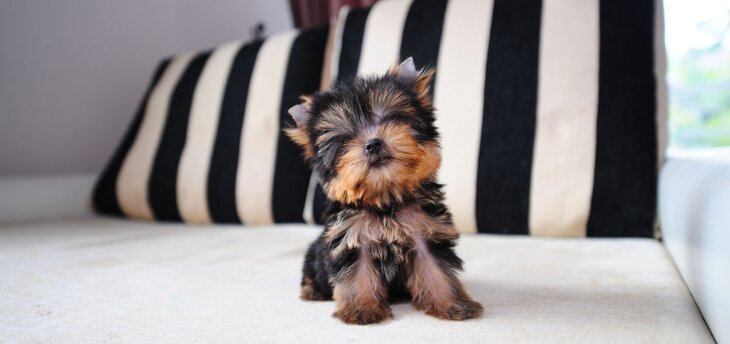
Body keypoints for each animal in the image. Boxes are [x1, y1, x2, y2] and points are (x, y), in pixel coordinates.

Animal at [286, 57, 484, 324]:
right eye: (345, 138)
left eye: (391, 118)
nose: (373, 143)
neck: (385, 198)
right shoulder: (352, 239)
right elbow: (357, 275)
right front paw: (361, 310)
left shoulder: (427, 231)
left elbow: (437, 271)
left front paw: (452, 304)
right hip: (315, 255)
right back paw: (312, 290)